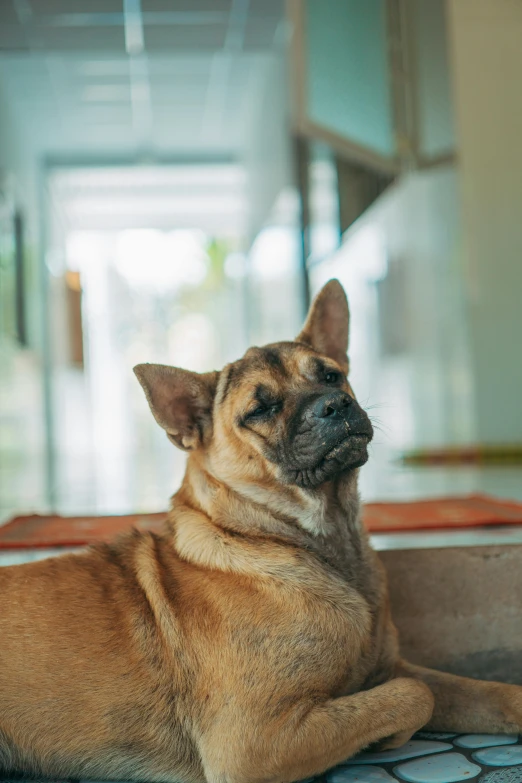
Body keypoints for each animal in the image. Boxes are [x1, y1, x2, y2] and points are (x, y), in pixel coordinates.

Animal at [1, 282, 520, 783]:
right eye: (260, 409)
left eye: (331, 376)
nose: (336, 404)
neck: (319, 540)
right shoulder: (253, 743)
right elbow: (414, 695)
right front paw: (387, 737)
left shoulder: (390, 666)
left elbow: (486, 693)